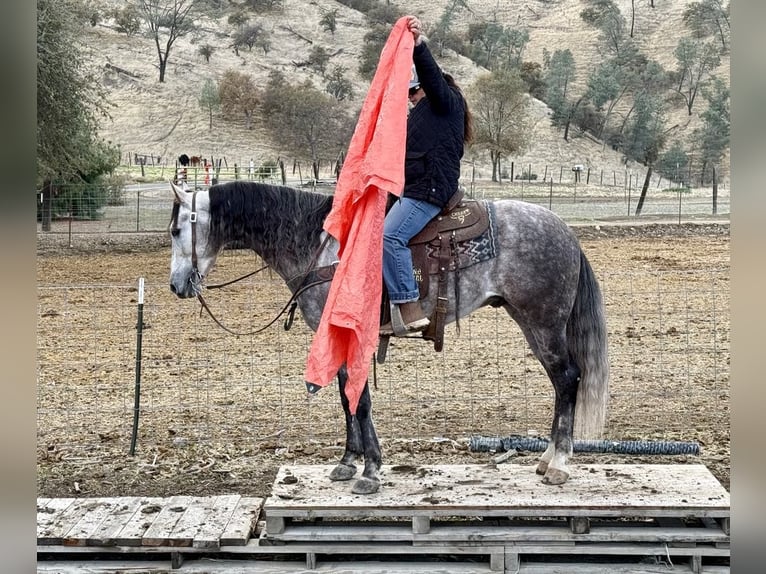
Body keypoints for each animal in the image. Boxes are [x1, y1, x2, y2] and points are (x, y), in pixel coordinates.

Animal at [167, 180, 609, 495]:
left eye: (175, 229)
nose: (176, 286)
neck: (322, 246)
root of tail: (565, 231)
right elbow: (347, 397)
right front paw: (348, 462)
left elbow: (360, 401)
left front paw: (371, 470)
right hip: (529, 321)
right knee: (560, 382)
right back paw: (547, 458)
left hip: (544, 322)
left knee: (568, 378)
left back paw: (559, 464)